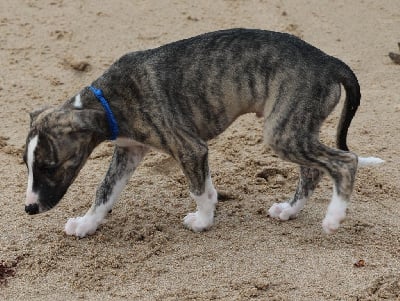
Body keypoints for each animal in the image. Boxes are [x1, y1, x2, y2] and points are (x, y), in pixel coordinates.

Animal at [23, 29, 382, 238]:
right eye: (28, 167)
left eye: (50, 167)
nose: (29, 209)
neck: (109, 100)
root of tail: (329, 61)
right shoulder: (130, 151)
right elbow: (104, 192)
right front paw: (86, 224)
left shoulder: (190, 148)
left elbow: (197, 189)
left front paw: (203, 220)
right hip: (294, 130)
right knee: (313, 170)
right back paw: (289, 210)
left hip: (282, 132)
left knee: (345, 161)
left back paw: (334, 217)